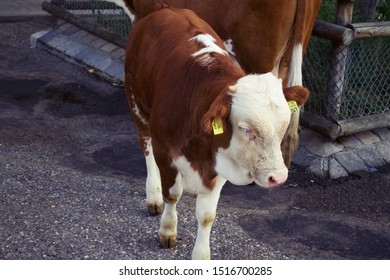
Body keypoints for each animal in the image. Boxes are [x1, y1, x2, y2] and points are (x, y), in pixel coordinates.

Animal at [125, 5, 308, 260]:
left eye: (283, 126)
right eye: (245, 129)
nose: (279, 177)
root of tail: (166, 9)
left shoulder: (219, 161)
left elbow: (206, 215)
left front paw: (201, 255)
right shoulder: (165, 152)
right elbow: (172, 194)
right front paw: (168, 230)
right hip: (137, 106)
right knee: (146, 147)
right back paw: (153, 195)